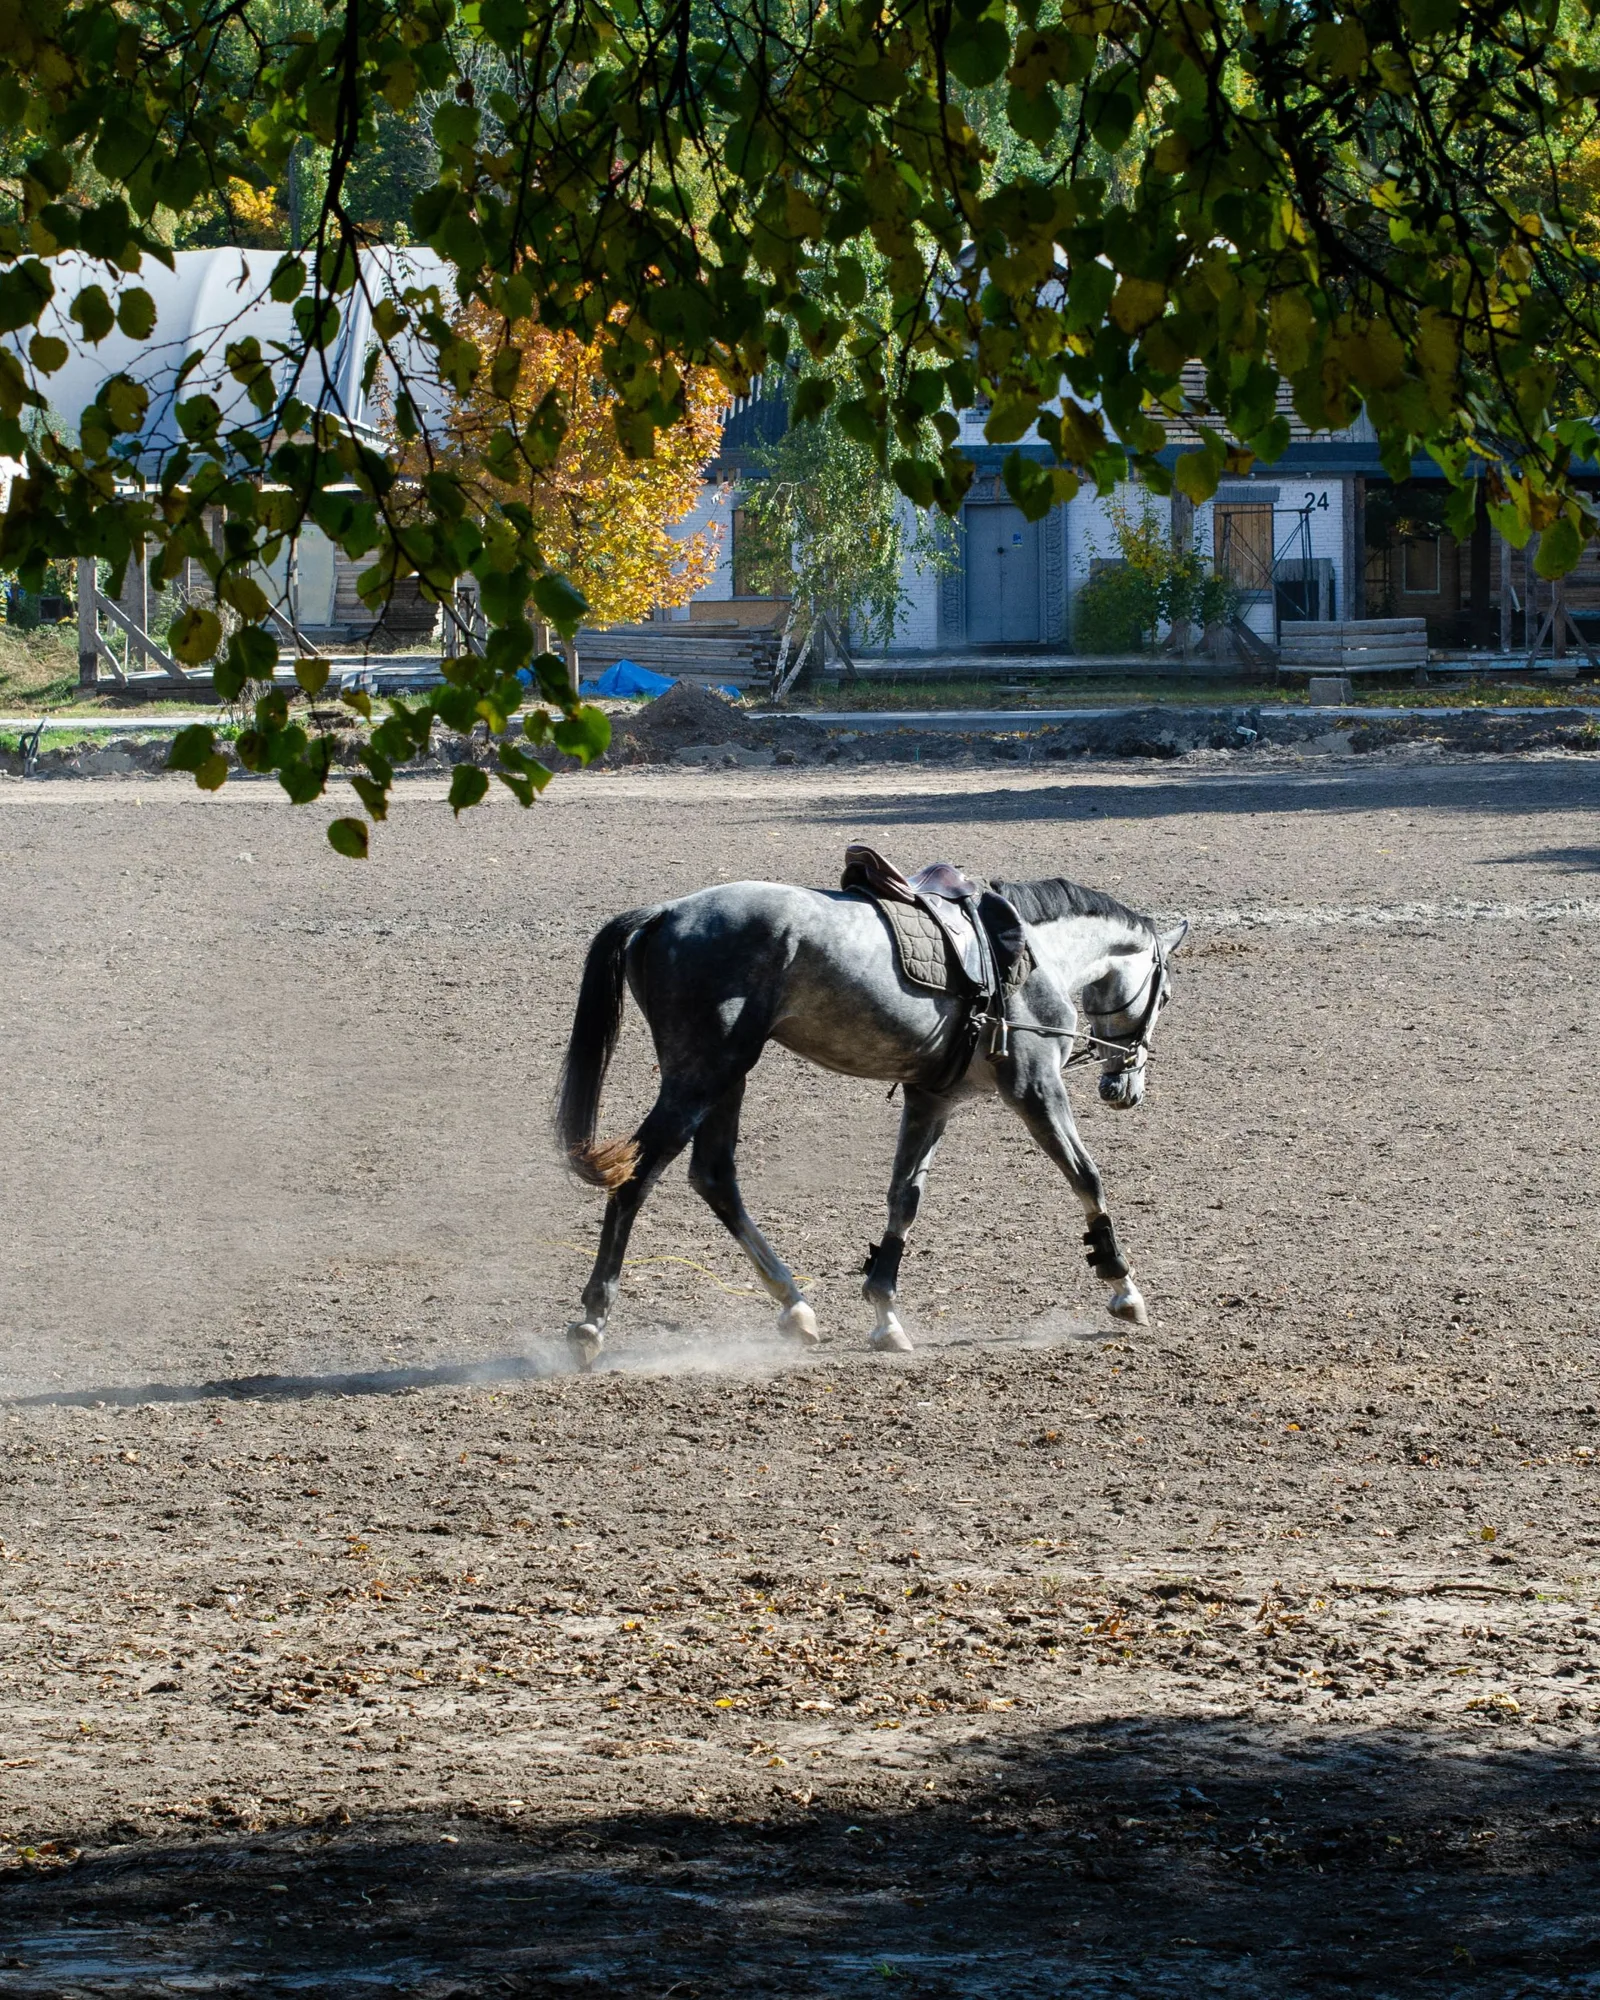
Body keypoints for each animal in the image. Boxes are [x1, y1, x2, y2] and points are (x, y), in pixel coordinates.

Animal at [554, 868, 1187, 1369]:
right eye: (1164, 995)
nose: (1123, 1087)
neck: (1034, 956)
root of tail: (664, 914)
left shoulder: (932, 1098)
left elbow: (904, 1197)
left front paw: (885, 1311)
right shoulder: (1035, 1088)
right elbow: (1087, 1177)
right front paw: (1122, 1284)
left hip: (725, 1077)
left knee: (713, 1178)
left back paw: (796, 1307)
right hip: (702, 1075)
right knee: (637, 1177)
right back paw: (591, 1323)